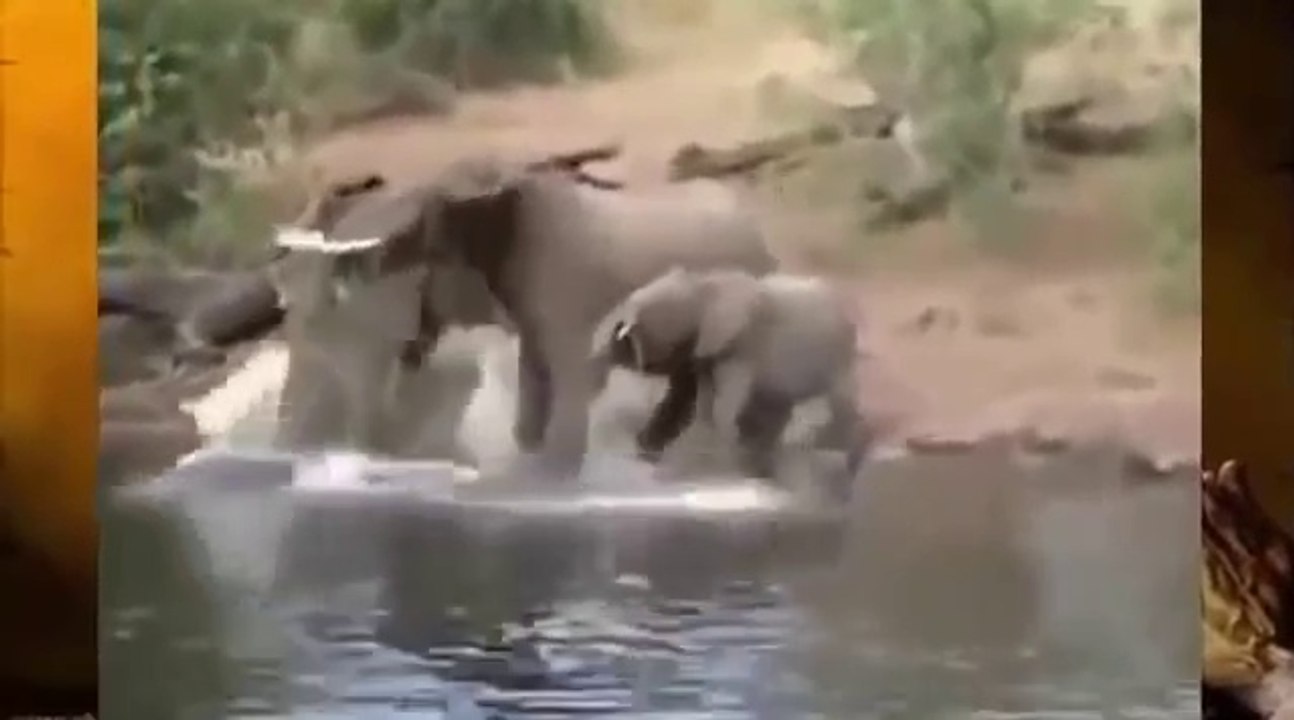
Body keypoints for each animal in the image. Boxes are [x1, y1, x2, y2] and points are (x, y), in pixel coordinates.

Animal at [273, 154, 779, 480]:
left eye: (428, 212)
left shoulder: (564, 286)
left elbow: (568, 371)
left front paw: (556, 475)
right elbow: (534, 370)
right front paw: (530, 465)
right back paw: (651, 452)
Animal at [590, 267, 870, 499]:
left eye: (637, 314)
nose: (619, 331)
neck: (703, 285)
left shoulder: (741, 348)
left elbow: (722, 407)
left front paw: (724, 470)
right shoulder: (702, 353)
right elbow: (691, 401)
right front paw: (651, 454)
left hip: (839, 354)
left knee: (840, 404)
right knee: (779, 410)